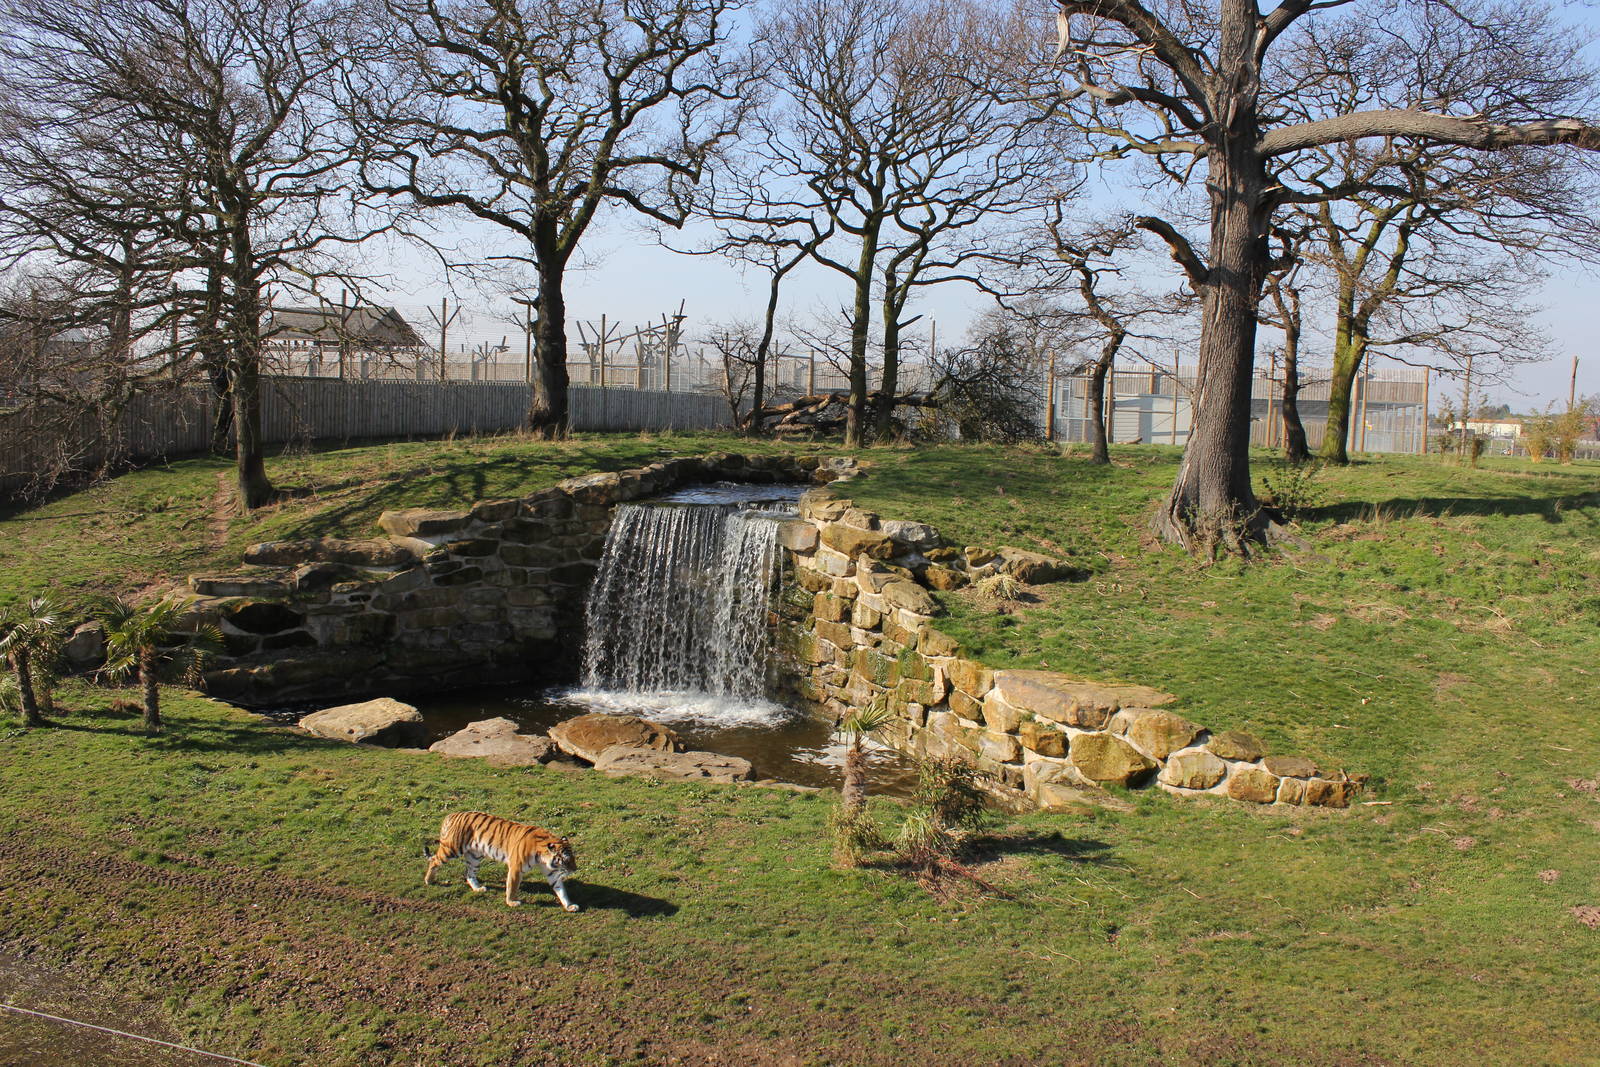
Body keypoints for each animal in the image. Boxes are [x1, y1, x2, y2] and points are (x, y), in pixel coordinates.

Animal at [423, 811, 580, 911]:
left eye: (573, 858)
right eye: (566, 860)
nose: (575, 869)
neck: (543, 857)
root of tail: (450, 815)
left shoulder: (552, 872)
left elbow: (561, 890)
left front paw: (569, 906)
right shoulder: (516, 868)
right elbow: (512, 886)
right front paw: (512, 902)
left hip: (475, 857)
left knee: (469, 874)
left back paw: (478, 888)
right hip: (452, 849)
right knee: (434, 861)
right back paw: (428, 880)